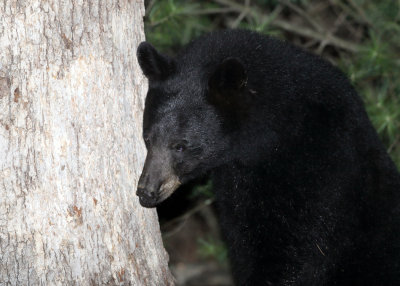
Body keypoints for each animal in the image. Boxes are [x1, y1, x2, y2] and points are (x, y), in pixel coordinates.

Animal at [135, 30, 400, 284]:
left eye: (180, 146)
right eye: (147, 138)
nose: (146, 191)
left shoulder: (322, 172)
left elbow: (296, 247)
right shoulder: (236, 192)